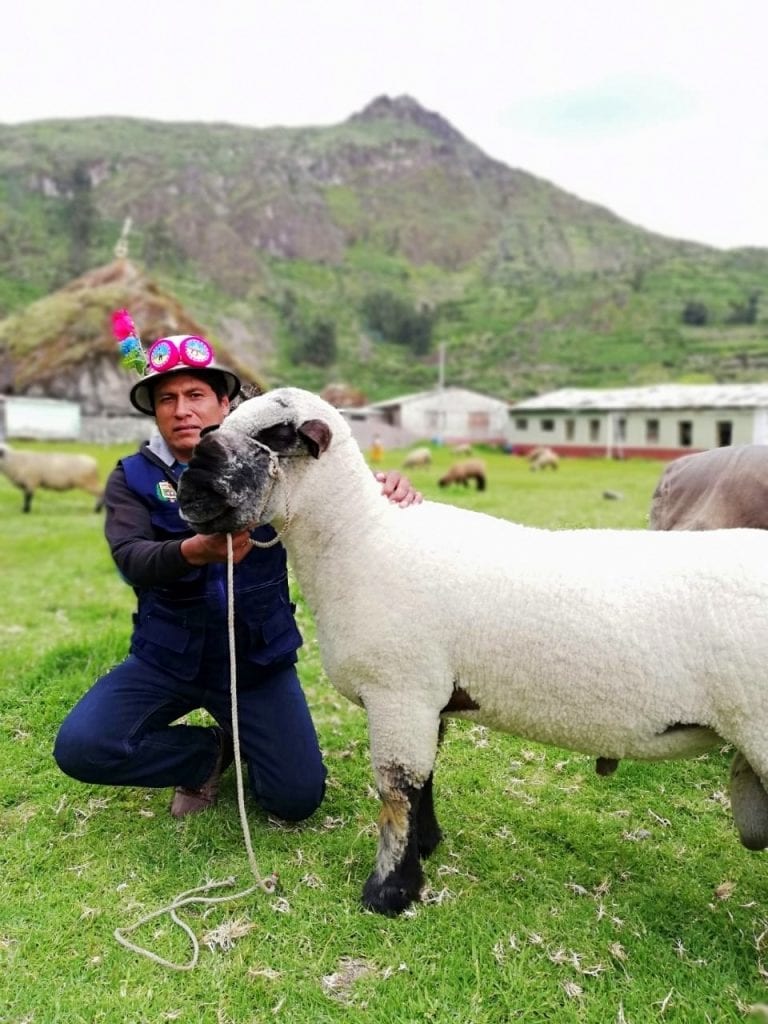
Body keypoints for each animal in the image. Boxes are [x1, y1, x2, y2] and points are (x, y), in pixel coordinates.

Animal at [180, 387, 768, 917]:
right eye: (220, 422)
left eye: (277, 435)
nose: (190, 484)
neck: (360, 541)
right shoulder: (427, 697)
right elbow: (423, 780)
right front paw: (425, 848)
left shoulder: (400, 691)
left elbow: (396, 790)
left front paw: (388, 893)